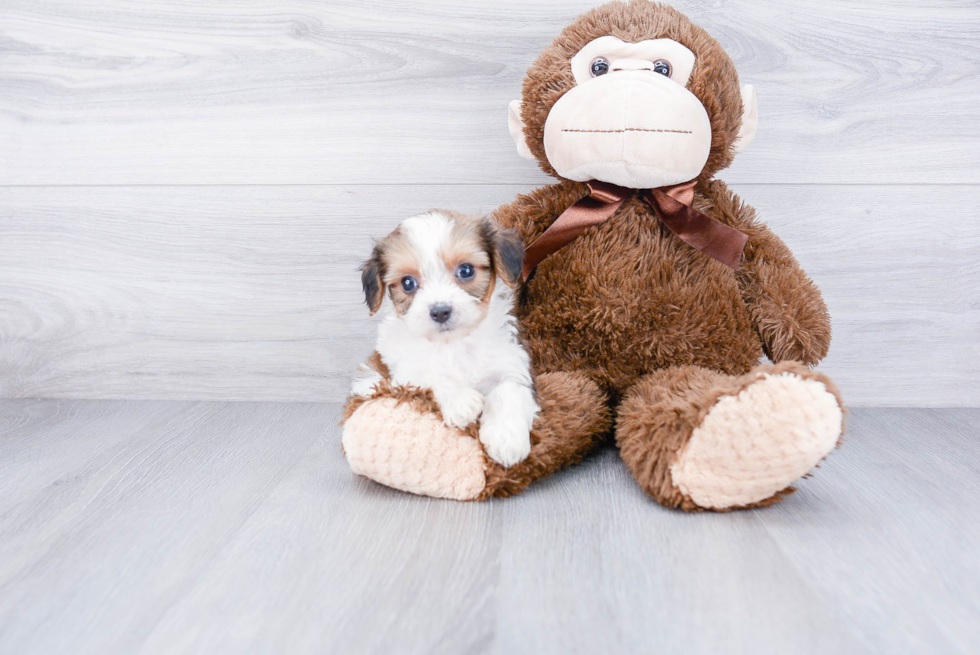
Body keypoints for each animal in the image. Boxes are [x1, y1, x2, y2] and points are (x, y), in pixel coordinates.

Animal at [350, 210, 540, 466]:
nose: (440, 311)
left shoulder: (511, 361)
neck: (454, 344)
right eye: (407, 283)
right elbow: (430, 376)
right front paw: (461, 401)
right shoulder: (405, 372)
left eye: (466, 270)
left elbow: (509, 390)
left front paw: (506, 438)